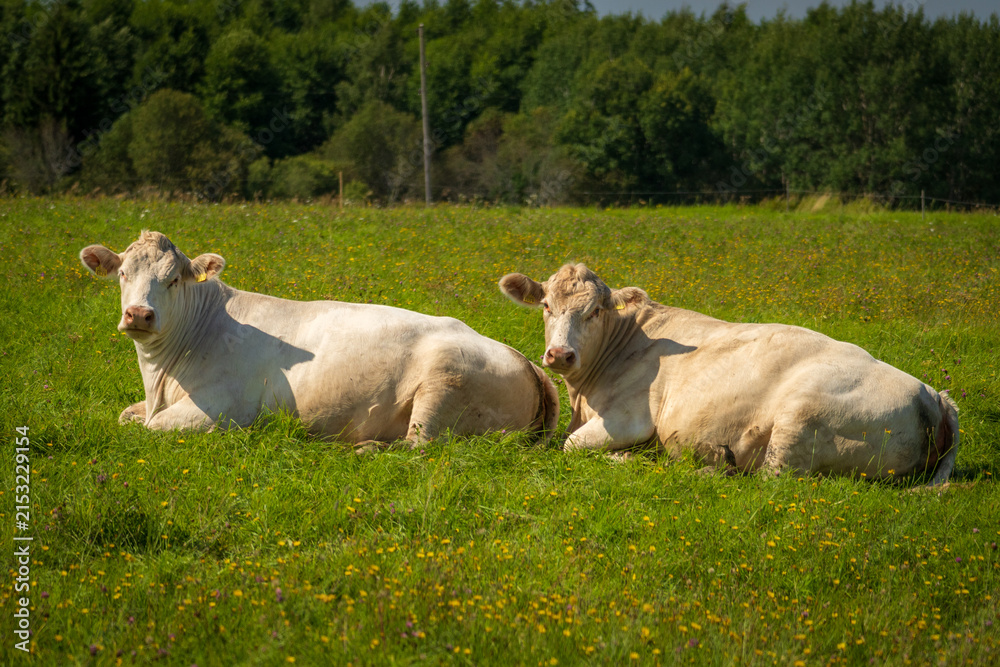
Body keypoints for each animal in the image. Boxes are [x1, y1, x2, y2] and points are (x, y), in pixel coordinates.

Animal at [79, 230, 558, 449]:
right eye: (123, 274)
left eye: (174, 279)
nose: (139, 314)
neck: (160, 377)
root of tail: (526, 360)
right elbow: (126, 417)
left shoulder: (218, 410)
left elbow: (149, 428)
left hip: (442, 387)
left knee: (419, 447)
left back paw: (365, 449)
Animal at [499, 263, 958, 483]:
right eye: (546, 306)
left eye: (595, 310)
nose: (560, 354)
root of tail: (932, 394)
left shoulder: (629, 419)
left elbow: (570, 446)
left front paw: (630, 458)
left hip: (800, 417)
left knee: (768, 479)